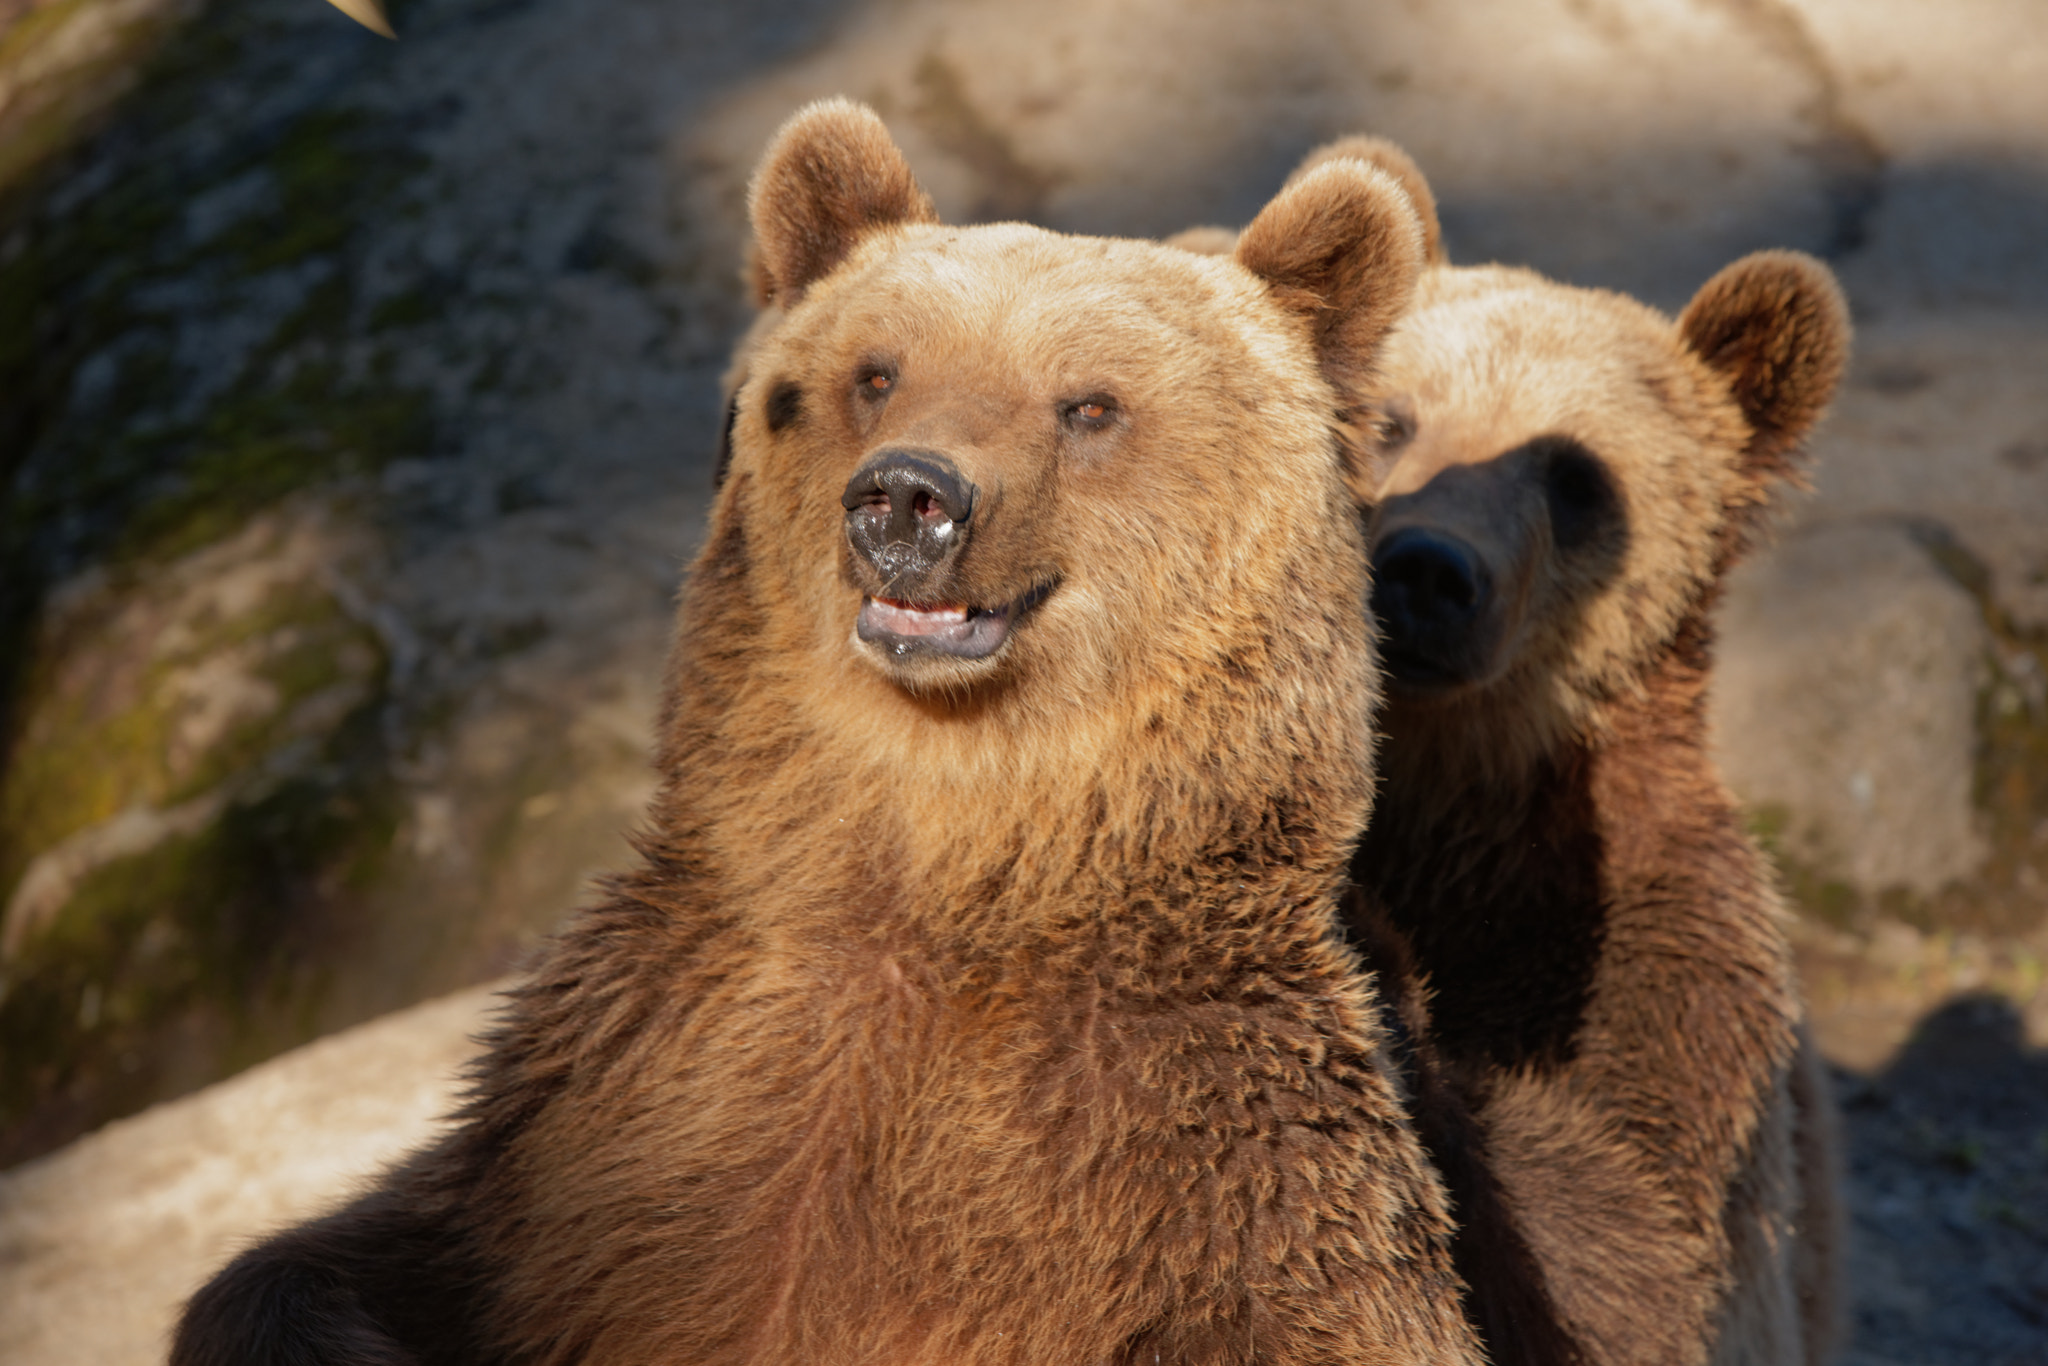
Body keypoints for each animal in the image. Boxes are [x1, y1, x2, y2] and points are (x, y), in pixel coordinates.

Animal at [172, 104, 1490, 1366]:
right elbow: (333, 1263)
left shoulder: (1199, 1163)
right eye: (876, 372)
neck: (925, 873)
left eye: (1090, 403)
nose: (908, 496)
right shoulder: (620, 1111)